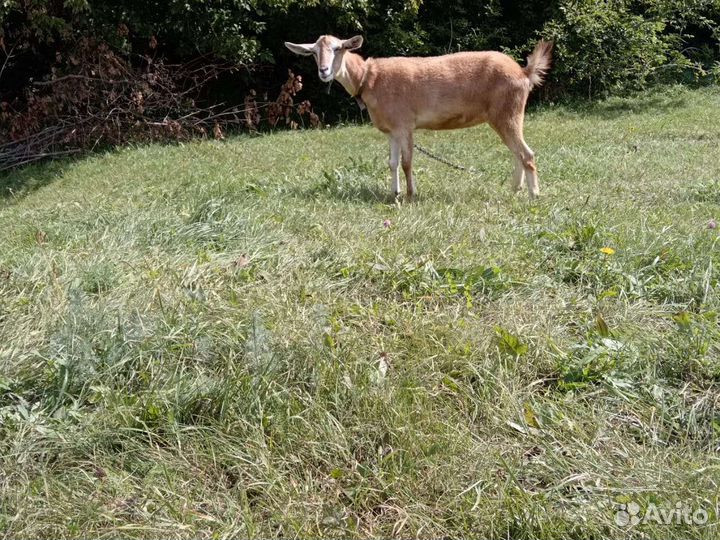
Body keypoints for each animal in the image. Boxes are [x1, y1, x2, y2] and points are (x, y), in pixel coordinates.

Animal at [285, 35, 553, 200]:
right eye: (313, 52)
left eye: (338, 48)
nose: (324, 71)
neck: (369, 78)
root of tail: (523, 73)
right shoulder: (392, 130)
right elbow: (392, 162)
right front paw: (394, 194)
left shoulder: (405, 124)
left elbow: (407, 162)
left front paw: (411, 194)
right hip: (505, 115)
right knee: (517, 153)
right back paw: (515, 189)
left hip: (508, 112)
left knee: (527, 153)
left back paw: (534, 195)